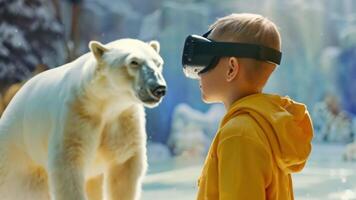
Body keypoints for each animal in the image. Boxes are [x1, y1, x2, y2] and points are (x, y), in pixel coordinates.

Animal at [0, 38, 165, 200]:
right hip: (20, 154)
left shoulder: (123, 118)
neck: (104, 102)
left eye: (158, 62)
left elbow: (124, 164)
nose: (159, 88)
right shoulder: (76, 115)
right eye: (134, 62)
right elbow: (68, 165)